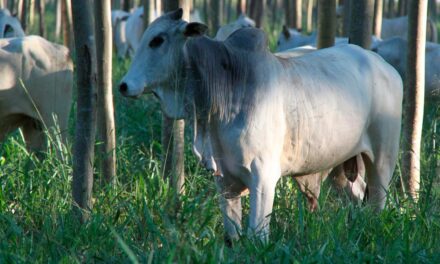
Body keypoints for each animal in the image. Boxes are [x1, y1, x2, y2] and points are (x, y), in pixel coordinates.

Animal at [119, 9, 402, 241]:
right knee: (358, 195)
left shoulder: (263, 177)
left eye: (157, 40)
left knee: (377, 202)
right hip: (339, 165)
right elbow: (232, 235)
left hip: (383, 159)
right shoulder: (225, 179)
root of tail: (387, 68)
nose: (123, 85)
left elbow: (257, 235)